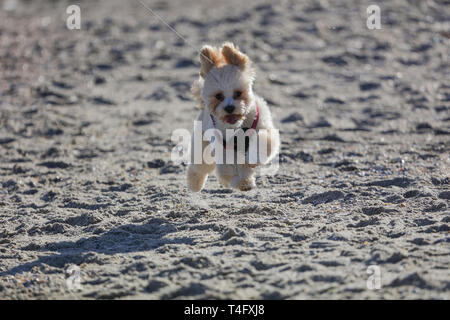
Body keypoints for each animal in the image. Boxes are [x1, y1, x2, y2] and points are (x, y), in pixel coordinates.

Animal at [185, 42, 278, 192]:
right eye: (219, 96)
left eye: (238, 93)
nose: (229, 108)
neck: (239, 126)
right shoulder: (224, 149)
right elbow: (230, 169)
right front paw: (241, 182)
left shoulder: (264, 130)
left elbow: (261, 143)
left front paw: (252, 161)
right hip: (202, 145)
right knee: (199, 167)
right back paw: (195, 184)